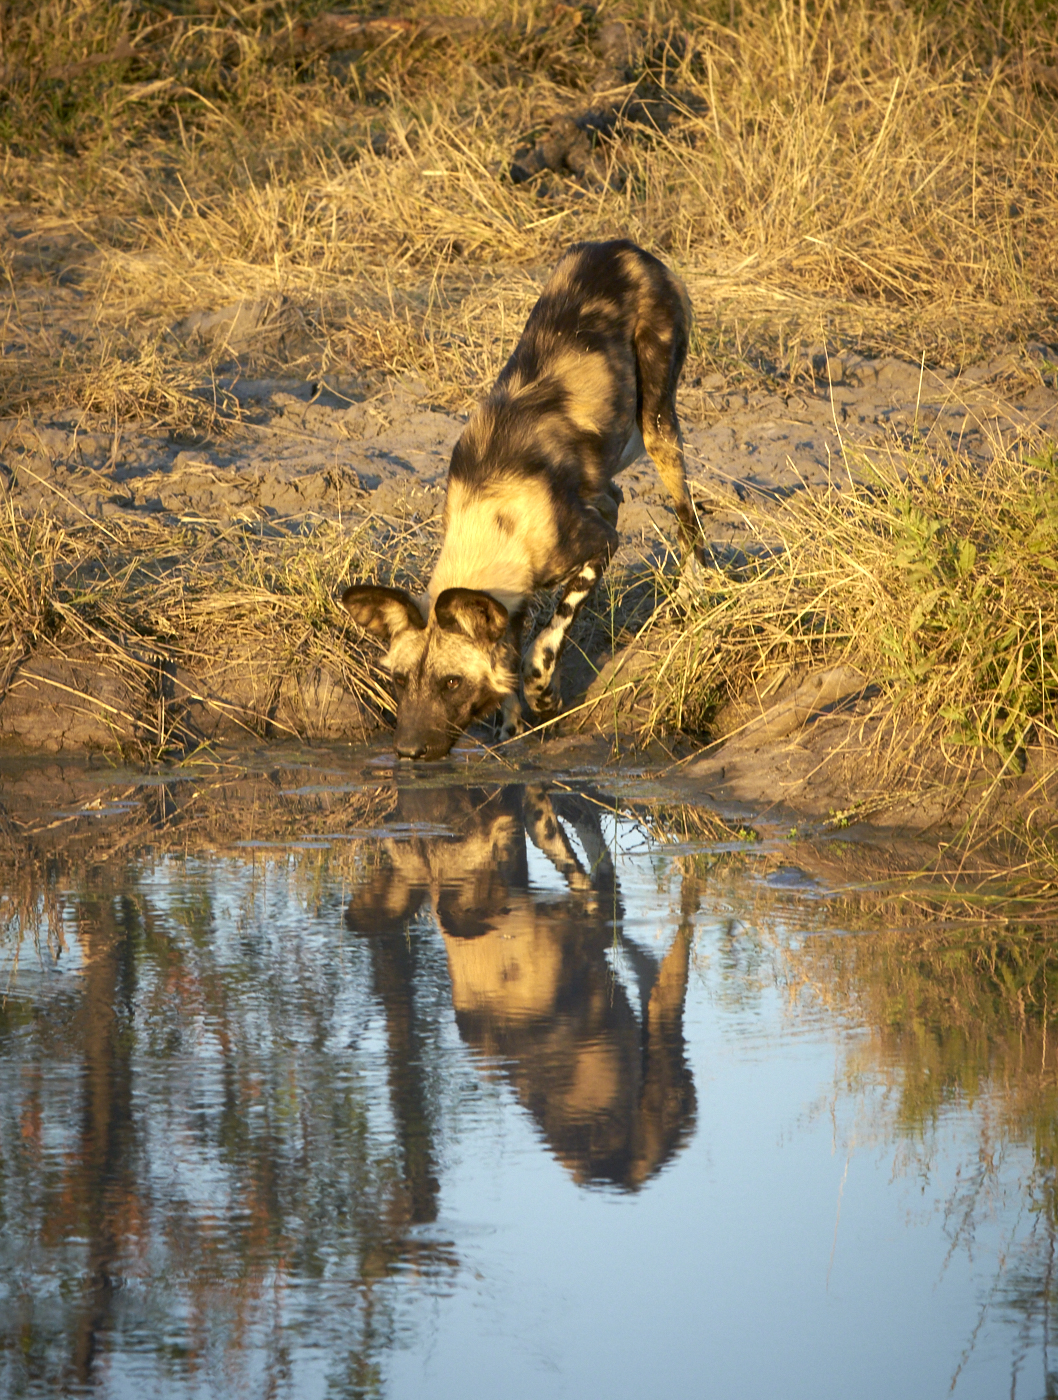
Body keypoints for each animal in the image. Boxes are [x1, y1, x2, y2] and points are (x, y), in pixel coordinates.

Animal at [342, 240, 699, 767]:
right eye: (401, 680)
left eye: (452, 683)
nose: (407, 751)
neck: (494, 513)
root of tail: (622, 247)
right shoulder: (510, 605)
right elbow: (508, 662)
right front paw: (510, 730)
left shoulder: (598, 546)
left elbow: (541, 646)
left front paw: (542, 697)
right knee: (612, 494)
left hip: (657, 425)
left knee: (686, 513)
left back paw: (696, 588)